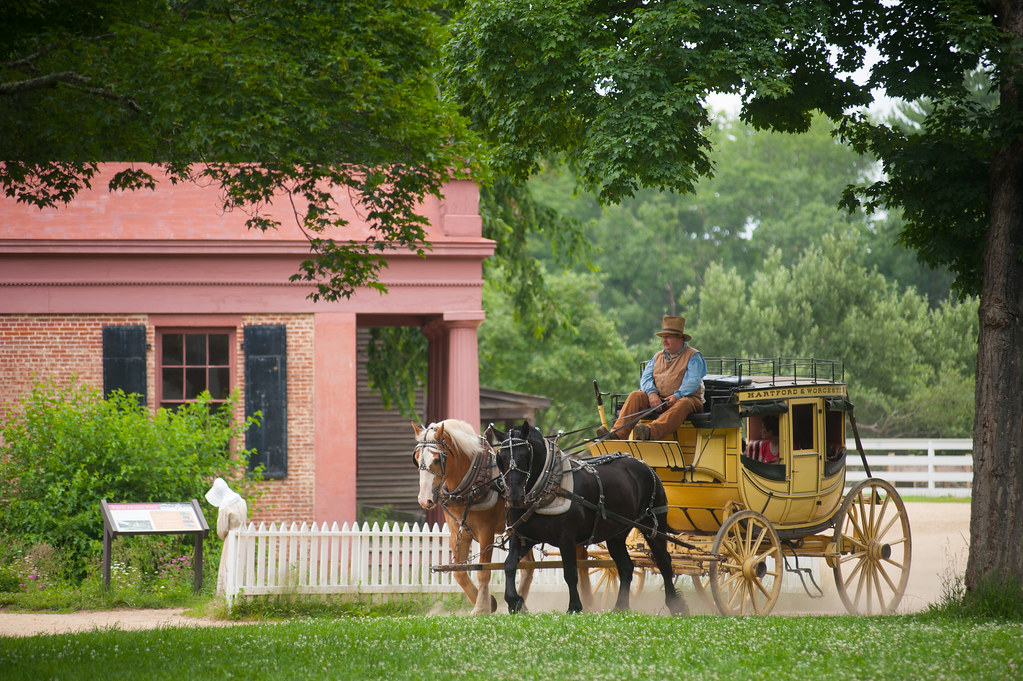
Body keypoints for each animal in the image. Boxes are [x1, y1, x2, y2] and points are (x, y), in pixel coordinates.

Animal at [411, 417, 536, 613]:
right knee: (528, 566)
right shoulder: (458, 532)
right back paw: (520, 603)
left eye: (437, 460)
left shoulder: (486, 532)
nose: (425, 500)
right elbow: (459, 572)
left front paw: (481, 607)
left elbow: (483, 571)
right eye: (417, 459)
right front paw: (489, 602)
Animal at [493, 419, 687, 613]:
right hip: (616, 533)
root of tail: (645, 465)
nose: (514, 497)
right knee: (626, 567)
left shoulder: (566, 538)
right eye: (500, 458)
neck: (548, 486)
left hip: (652, 525)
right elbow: (509, 565)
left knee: (664, 562)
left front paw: (574, 607)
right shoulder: (523, 536)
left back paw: (675, 605)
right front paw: (515, 602)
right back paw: (620, 607)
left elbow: (570, 573)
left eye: (526, 455)